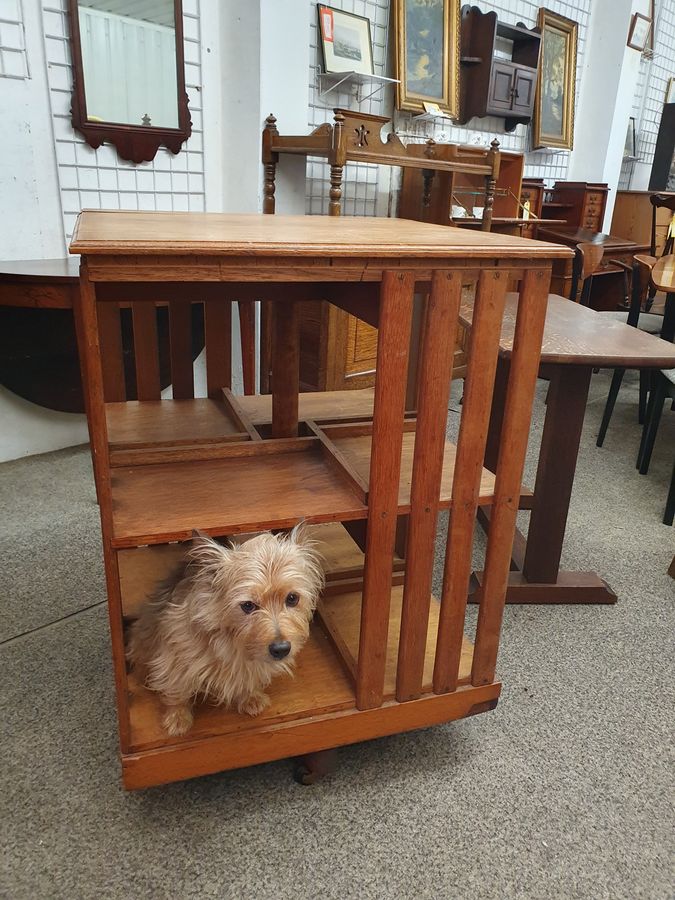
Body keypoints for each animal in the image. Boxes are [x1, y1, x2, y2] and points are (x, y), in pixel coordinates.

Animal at [130, 532, 328, 736]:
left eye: (292, 598)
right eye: (248, 605)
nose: (281, 649)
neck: (232, 641)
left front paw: (250, 696)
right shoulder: (174, 657)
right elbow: (177, 689)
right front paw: (178, 718)